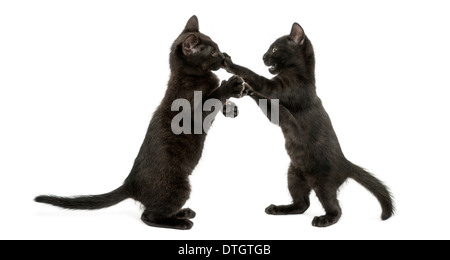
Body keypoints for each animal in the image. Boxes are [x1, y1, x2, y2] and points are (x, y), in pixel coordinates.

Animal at [225, 22, 394, 226]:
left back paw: (323, 220)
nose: (263, 56)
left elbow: (255, 78)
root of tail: (346, 163)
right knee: (301, 203)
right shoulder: (275, 110)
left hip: (322, 184)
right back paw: (277, 209)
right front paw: (244, 88)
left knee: (335, 209)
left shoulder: (276, 91)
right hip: (294, 175)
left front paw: (231, 65)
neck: (301, 75)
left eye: (274, 49)